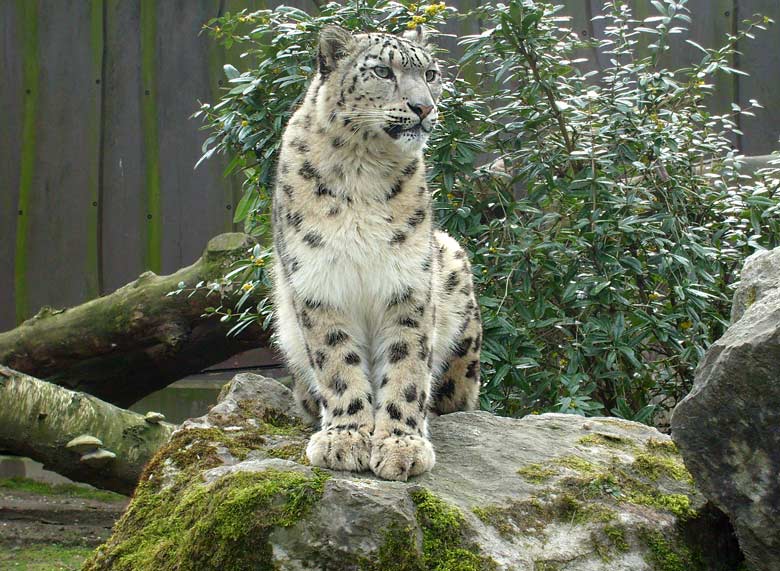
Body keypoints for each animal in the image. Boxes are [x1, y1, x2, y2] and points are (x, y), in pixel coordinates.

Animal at [272, 26, 482, 482]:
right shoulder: (318, 281)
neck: (362, 170)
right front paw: (345, 437)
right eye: (383, 71)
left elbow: (407, 365)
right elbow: (336, 362)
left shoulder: (408, 282)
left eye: (431, 73)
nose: (424, 106)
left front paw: (402, 445)